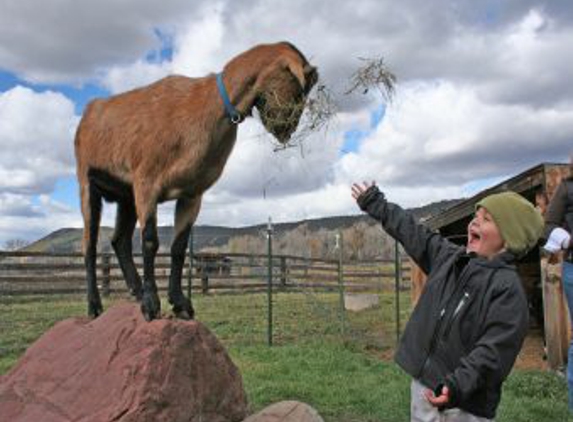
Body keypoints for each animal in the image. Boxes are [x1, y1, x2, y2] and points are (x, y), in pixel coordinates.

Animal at [73, 42, 318, 320]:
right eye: (299, 85)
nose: (287, 130)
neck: (205, 106)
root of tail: (88, 113)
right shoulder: (147, 183)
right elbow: (150, 242)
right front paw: (151, 305)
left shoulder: (192, 193)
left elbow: (179, 248)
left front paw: (180, 303)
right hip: (87, 183)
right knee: (89, 245)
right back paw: (95, 306)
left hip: (126, 195)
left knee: (119, 240)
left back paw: (135, 291)